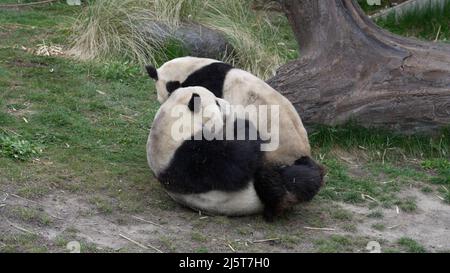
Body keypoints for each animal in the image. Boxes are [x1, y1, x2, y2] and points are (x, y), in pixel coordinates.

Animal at [148, 86, 324, 220]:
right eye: (217, 103)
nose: (227, 103)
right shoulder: (192, 158)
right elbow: (235, 165)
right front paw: (243, 123)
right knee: (280, 182)